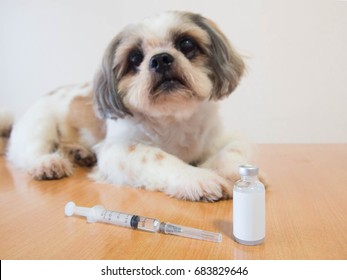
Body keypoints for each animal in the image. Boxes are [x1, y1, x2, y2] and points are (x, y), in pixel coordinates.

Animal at [4, 11, 253, 201]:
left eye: (186, 44)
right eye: (135, 58)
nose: (160, 59)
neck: (173, 118)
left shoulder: (223, 136)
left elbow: (234, 149)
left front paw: (235, 174)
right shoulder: (119, 151)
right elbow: (158, 157)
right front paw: (196, 177)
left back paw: (79, 153)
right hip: (40, 123)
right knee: (30, 152)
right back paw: (48, 163)